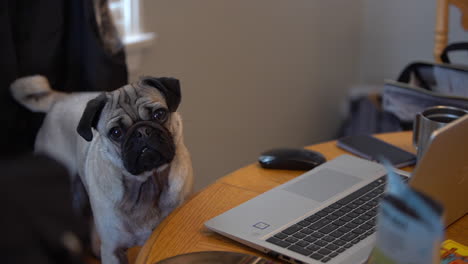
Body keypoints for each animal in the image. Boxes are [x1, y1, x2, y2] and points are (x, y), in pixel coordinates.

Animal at [11, 75, 194, 264]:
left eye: (159, 114)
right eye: (116, 132)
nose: (142, 131)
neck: (147, 184)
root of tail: (60, 98)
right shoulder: (112, 251)